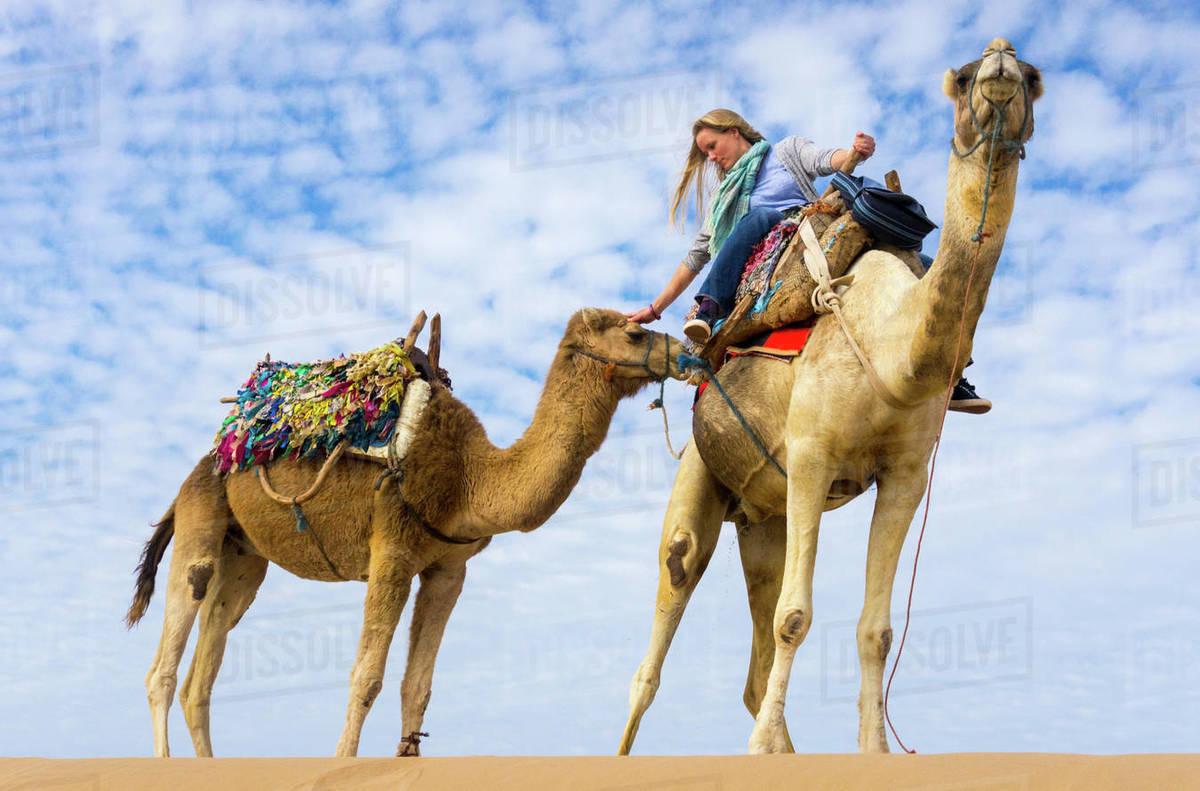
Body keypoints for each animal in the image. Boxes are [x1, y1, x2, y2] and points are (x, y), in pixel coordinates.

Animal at [125, 308, 683, 757]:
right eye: (635, 332)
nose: (685, 351)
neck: (468, 477)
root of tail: (204, 466)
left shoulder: (448, 568)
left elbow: (418, 687)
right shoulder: (391, 548)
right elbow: (366, 677)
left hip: (243, 557)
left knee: (201, 678)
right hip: (201, 518)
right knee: (164, 666)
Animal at [618, 39, 1043, 755]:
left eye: (1034, 80)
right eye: (962, 79)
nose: (1001, 64)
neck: (894, 353)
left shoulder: (905, 475)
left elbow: (876, 630)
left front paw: (872, 752)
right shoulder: (812, 454)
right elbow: (795, 617)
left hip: (762, 519)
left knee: (754, 662)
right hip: (702, 477)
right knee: (660, 628)